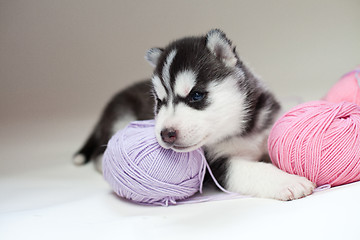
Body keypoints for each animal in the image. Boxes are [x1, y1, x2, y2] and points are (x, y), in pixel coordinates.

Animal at [74, 29, 316, 200]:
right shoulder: (218, 165)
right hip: (120, 118)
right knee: (100, 152)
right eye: (159, 101)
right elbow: (252, 170)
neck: (239, 130)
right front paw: (288, 182)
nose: (166, 134)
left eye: (196, 95)